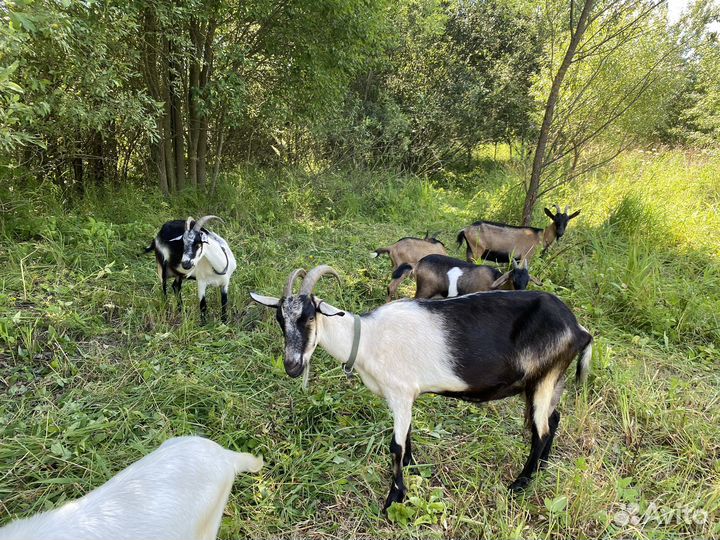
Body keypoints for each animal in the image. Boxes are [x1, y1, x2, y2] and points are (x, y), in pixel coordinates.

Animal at [250, 265, 592, 511]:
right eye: (280, 319)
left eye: (309, 316)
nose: (292, 366)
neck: (368, 338)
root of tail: (579, 329)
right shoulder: (408, 396)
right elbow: (409, 436)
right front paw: (413, 469)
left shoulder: (399, 393)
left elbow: (395, 446)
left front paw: (393, 499)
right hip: (551, 380)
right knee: (554, 419)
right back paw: (542, 466)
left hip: (544, 378)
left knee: (540, 431)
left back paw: (519, 484)